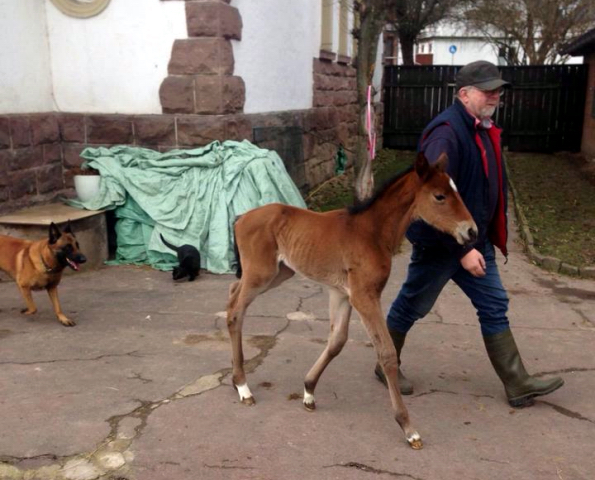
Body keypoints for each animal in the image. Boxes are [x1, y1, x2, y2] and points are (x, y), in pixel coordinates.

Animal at [226, 152, 478, 448]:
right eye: (439, 196)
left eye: (455, 190)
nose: (472, 231)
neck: (372, 232)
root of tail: (241, 217)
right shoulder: (364, 295)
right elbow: (386, 352)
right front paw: (408, 427)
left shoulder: (342, 293)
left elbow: (337, 341)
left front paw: (309, 391)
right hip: (261, 273)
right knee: (235, 311)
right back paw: (243, 387)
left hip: (278, 272)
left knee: (232, 292)